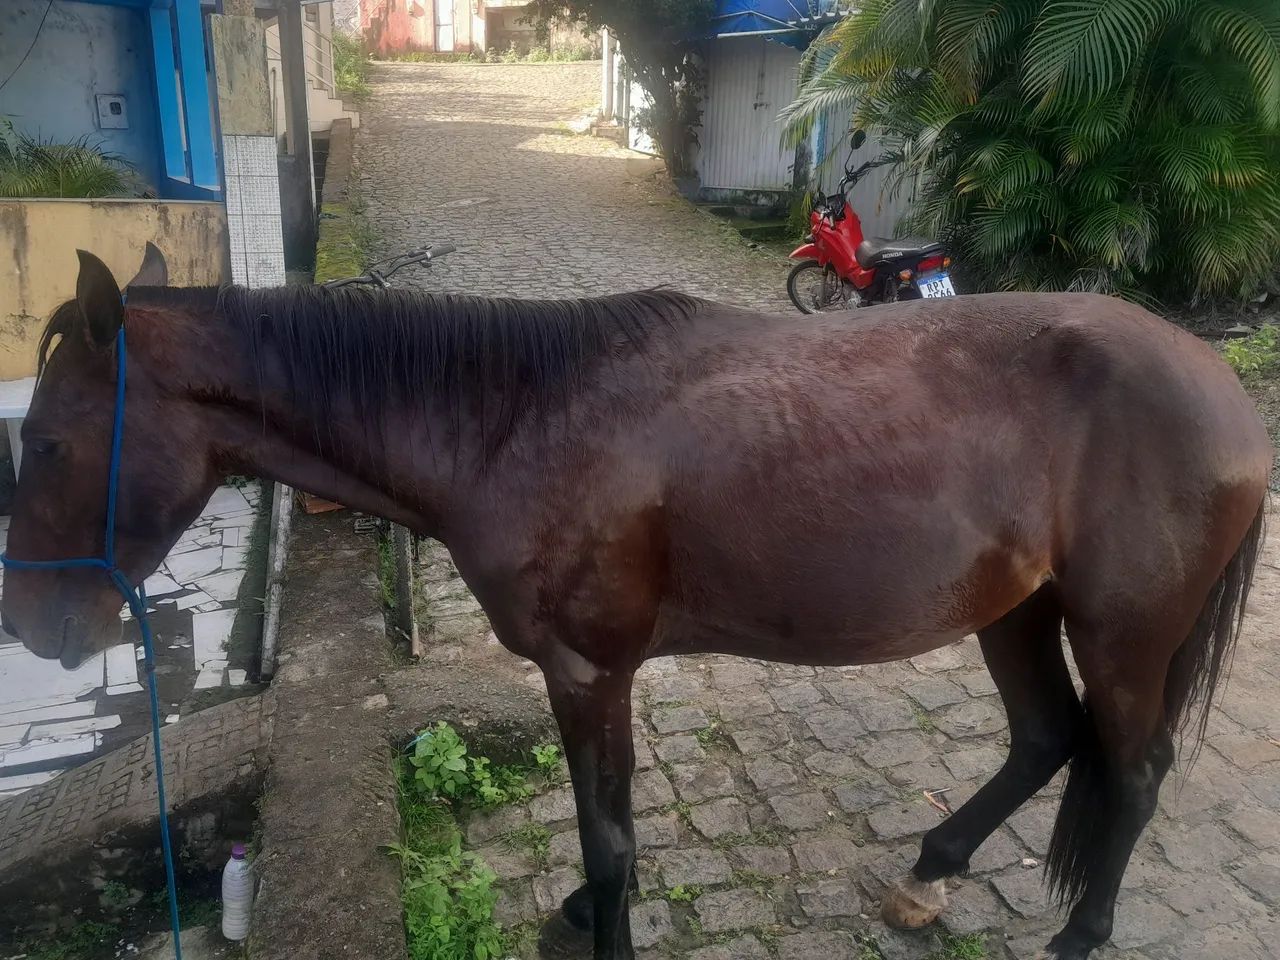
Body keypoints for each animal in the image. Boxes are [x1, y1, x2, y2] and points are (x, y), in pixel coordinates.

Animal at [1, 247, 1269, 960]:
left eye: (48, 441)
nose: (32, 627)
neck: (515, 419)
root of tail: (1218, 389)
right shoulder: (589, 677)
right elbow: (604, 832)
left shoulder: (585, 671)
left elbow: (609, 842)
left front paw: (591, 916)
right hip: (1014, 608)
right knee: (1046, 738)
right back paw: (932, 865)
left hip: (1121, 634)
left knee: (1131, 773)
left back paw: (1080, 934)